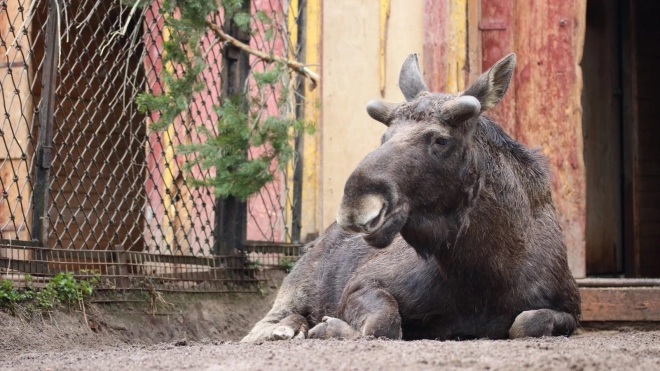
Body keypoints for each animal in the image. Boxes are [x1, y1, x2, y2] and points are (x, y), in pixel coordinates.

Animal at [244, 53, 584, 342]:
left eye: (441, 139)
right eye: (385, 136)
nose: (356, 203)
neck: (485, 274)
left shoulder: (570, 309)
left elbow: (527, 322)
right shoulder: (362, 283)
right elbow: (383, 324)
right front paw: (330, 328)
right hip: (296, 286)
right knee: (270, 321)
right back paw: (284, 329)